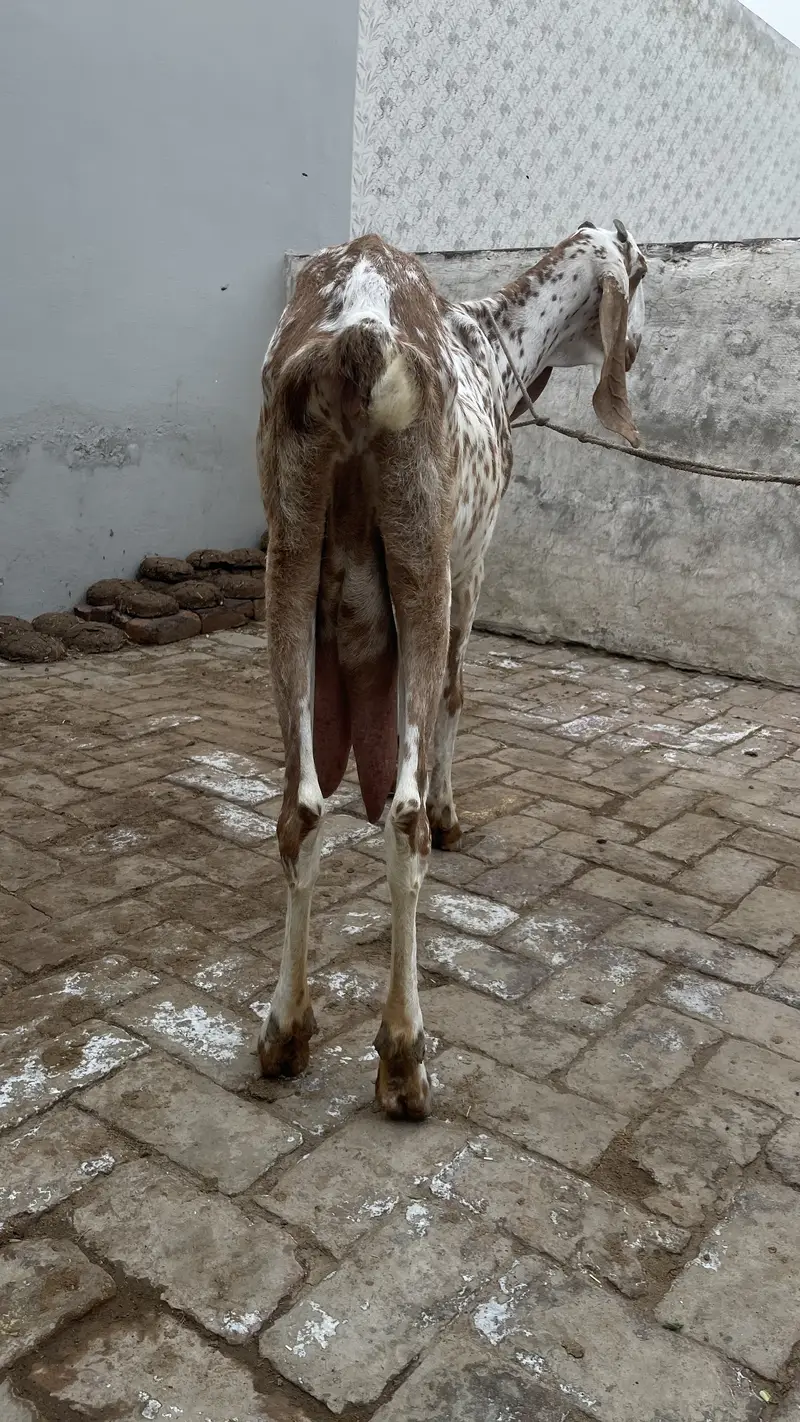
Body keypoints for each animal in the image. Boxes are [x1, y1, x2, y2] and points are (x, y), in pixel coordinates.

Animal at [256, 219, 647, 1119]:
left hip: (287, 549)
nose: (641, 347)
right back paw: (403, 1058)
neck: (494, 343)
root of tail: (360, 338)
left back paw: (286, 1032)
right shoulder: (473, 563)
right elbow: (458, 696)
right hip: (423, 559)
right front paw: (451, 810)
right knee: (400, 819)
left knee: (300, 808)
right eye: (643, 273)